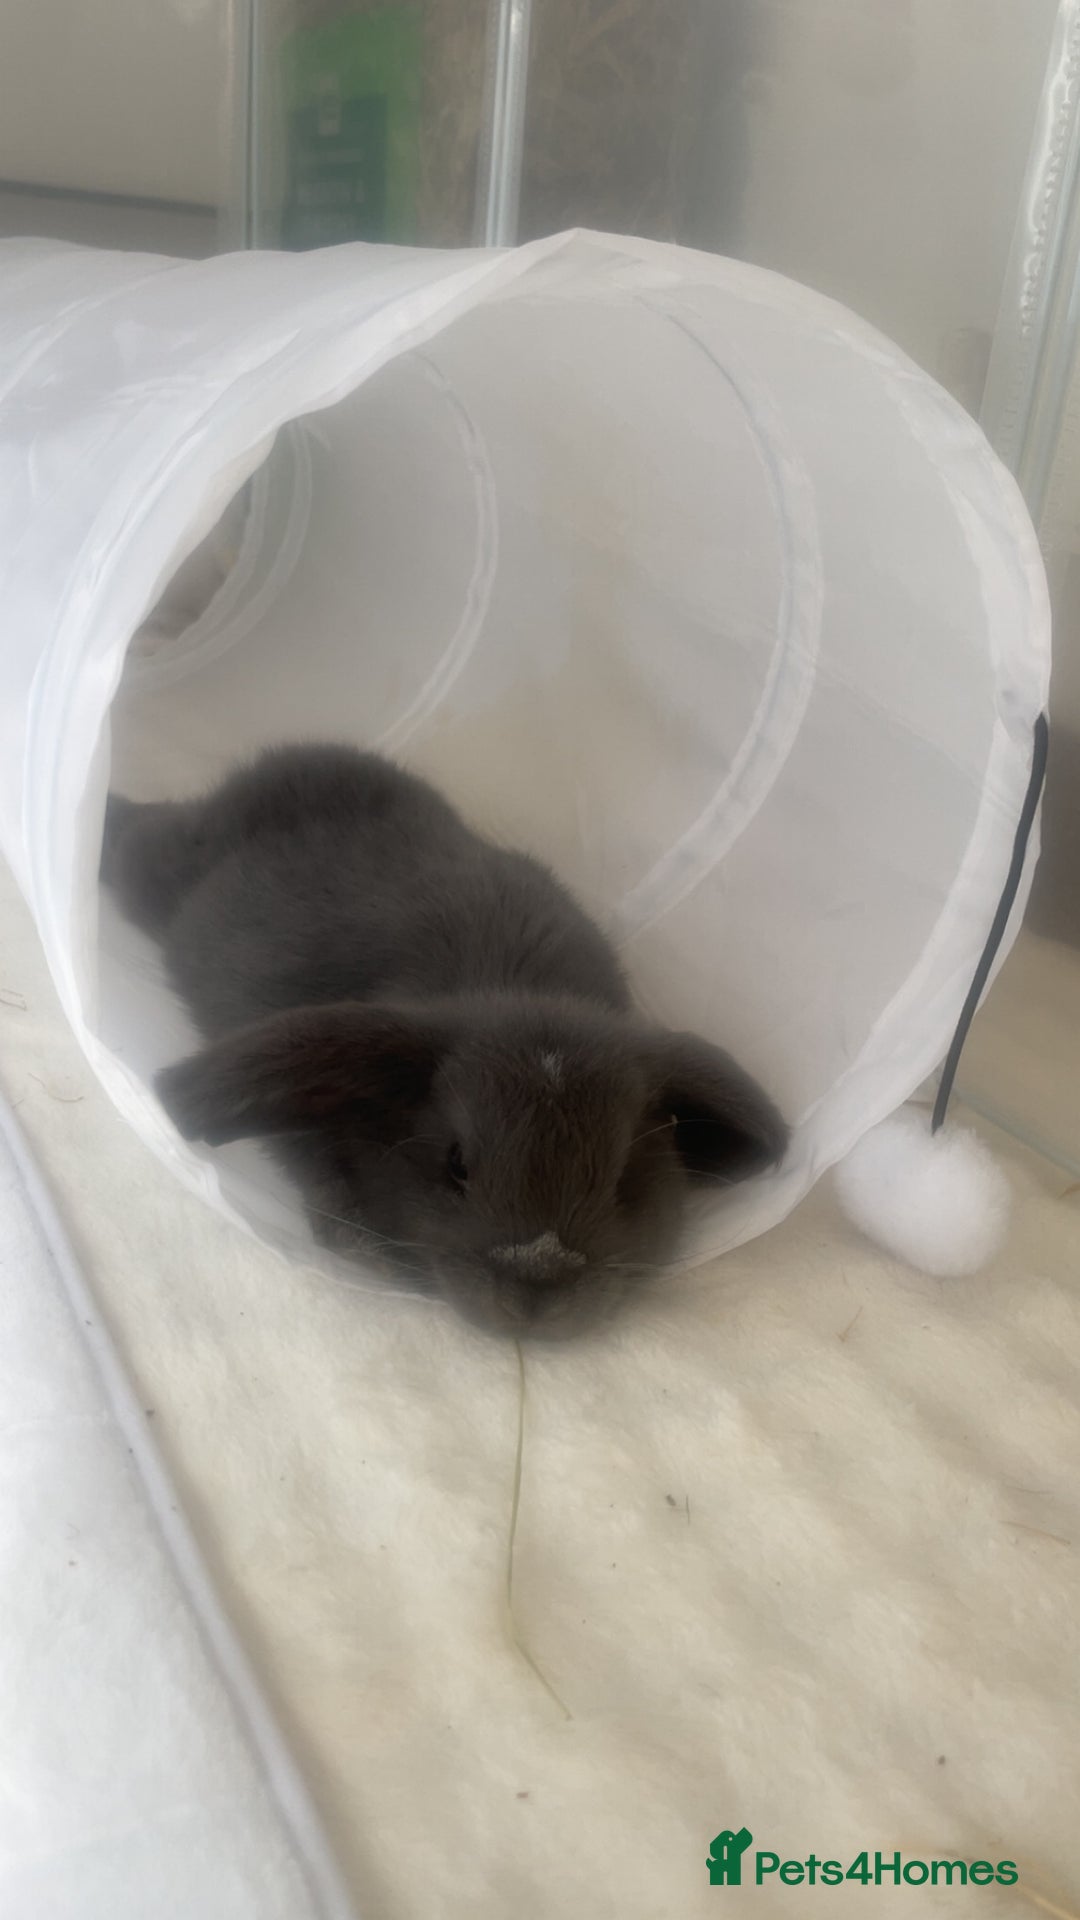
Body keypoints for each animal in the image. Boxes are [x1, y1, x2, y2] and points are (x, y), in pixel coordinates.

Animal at [101, 743, 788, 1337]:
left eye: (624, 1177)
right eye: (455, 1163)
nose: (536, 1286)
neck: (516, 990)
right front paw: (359, 1246)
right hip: (158, 869)